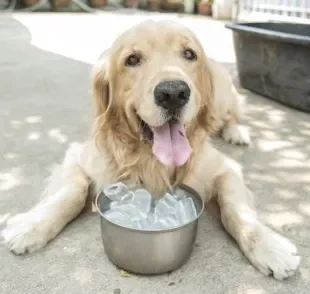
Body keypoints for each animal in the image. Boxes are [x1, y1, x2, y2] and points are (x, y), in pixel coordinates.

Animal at [1, 19, 300, 280]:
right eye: (132, 59)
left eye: (189, 54)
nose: (173, 93)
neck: (150, 159)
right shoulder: (77, 157)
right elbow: (70, 193)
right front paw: (30, 226)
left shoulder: (226, 168)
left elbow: (237, 210)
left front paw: (270, 248)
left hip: (224, 99)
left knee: (231, 115)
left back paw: (236, 132)